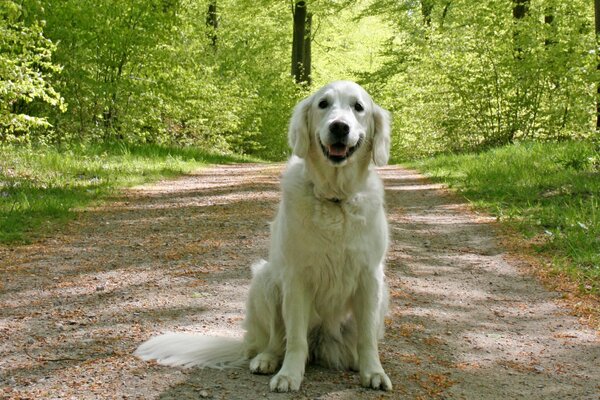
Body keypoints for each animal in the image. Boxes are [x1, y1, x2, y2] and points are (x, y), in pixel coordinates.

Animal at [134, 79, 392, 392]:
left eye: (358, 107)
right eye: (323, 104)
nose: (340, 127)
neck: (334, 199)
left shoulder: (369, 277)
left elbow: (367, 338)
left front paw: (373, 371)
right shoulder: (296, 277)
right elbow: (295, 339)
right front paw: (289, 375)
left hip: (381, 294)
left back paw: (353, 360)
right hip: (265, 280)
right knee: (275, 340)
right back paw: (267, 360)